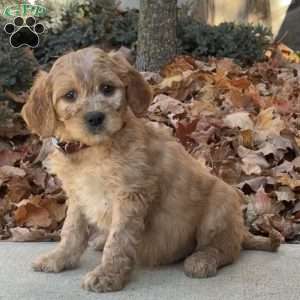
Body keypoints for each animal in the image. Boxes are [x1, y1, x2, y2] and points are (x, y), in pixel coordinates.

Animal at [22, 47, 280, 292]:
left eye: (107, 89)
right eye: (70, 95)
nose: (95, 117)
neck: (92, 150)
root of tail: (241, 231)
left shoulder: (130, 195)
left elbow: (118, 240)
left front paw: (107, 275)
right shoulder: (78, 196)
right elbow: (71, 231)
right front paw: (58, 258)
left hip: (220, 203)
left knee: (227, 250)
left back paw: (203, 260)